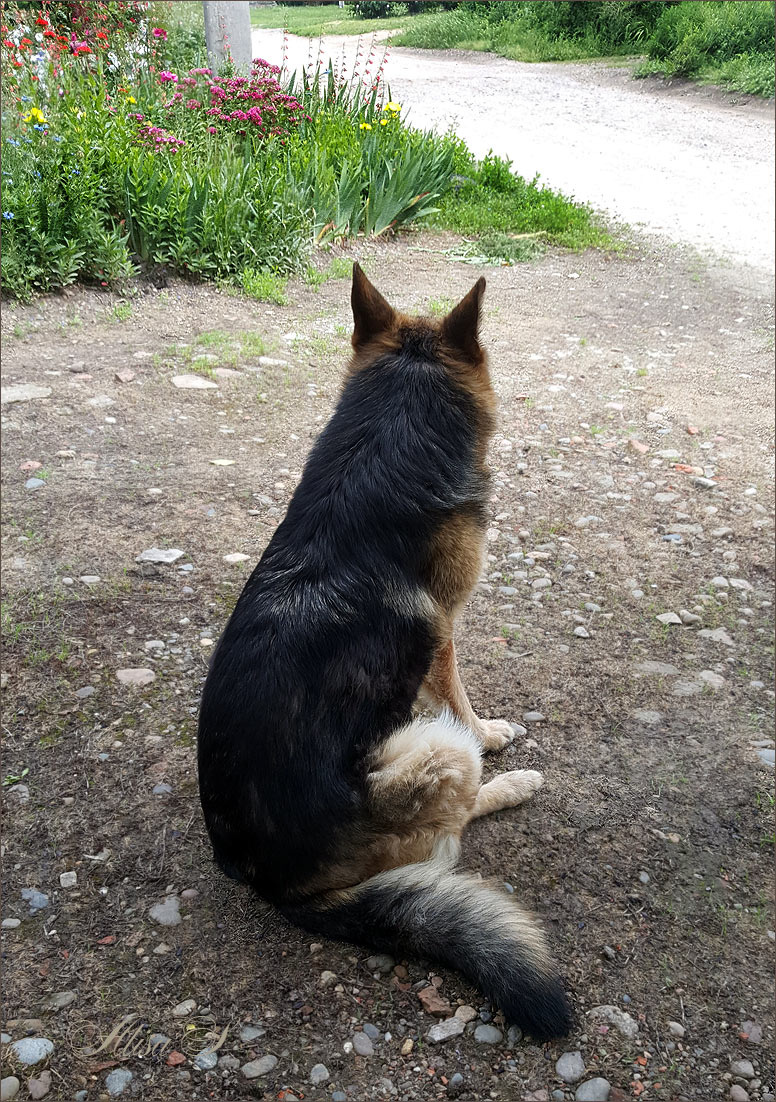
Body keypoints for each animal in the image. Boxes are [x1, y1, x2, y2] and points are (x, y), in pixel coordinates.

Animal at [197, 264, 572, 1040]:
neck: (386, 437)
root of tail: (273, 884)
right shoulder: (446, 635)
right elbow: (463, 701)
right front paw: (495, 733)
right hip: (436, 754)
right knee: (454, 824)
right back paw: (513, 785)